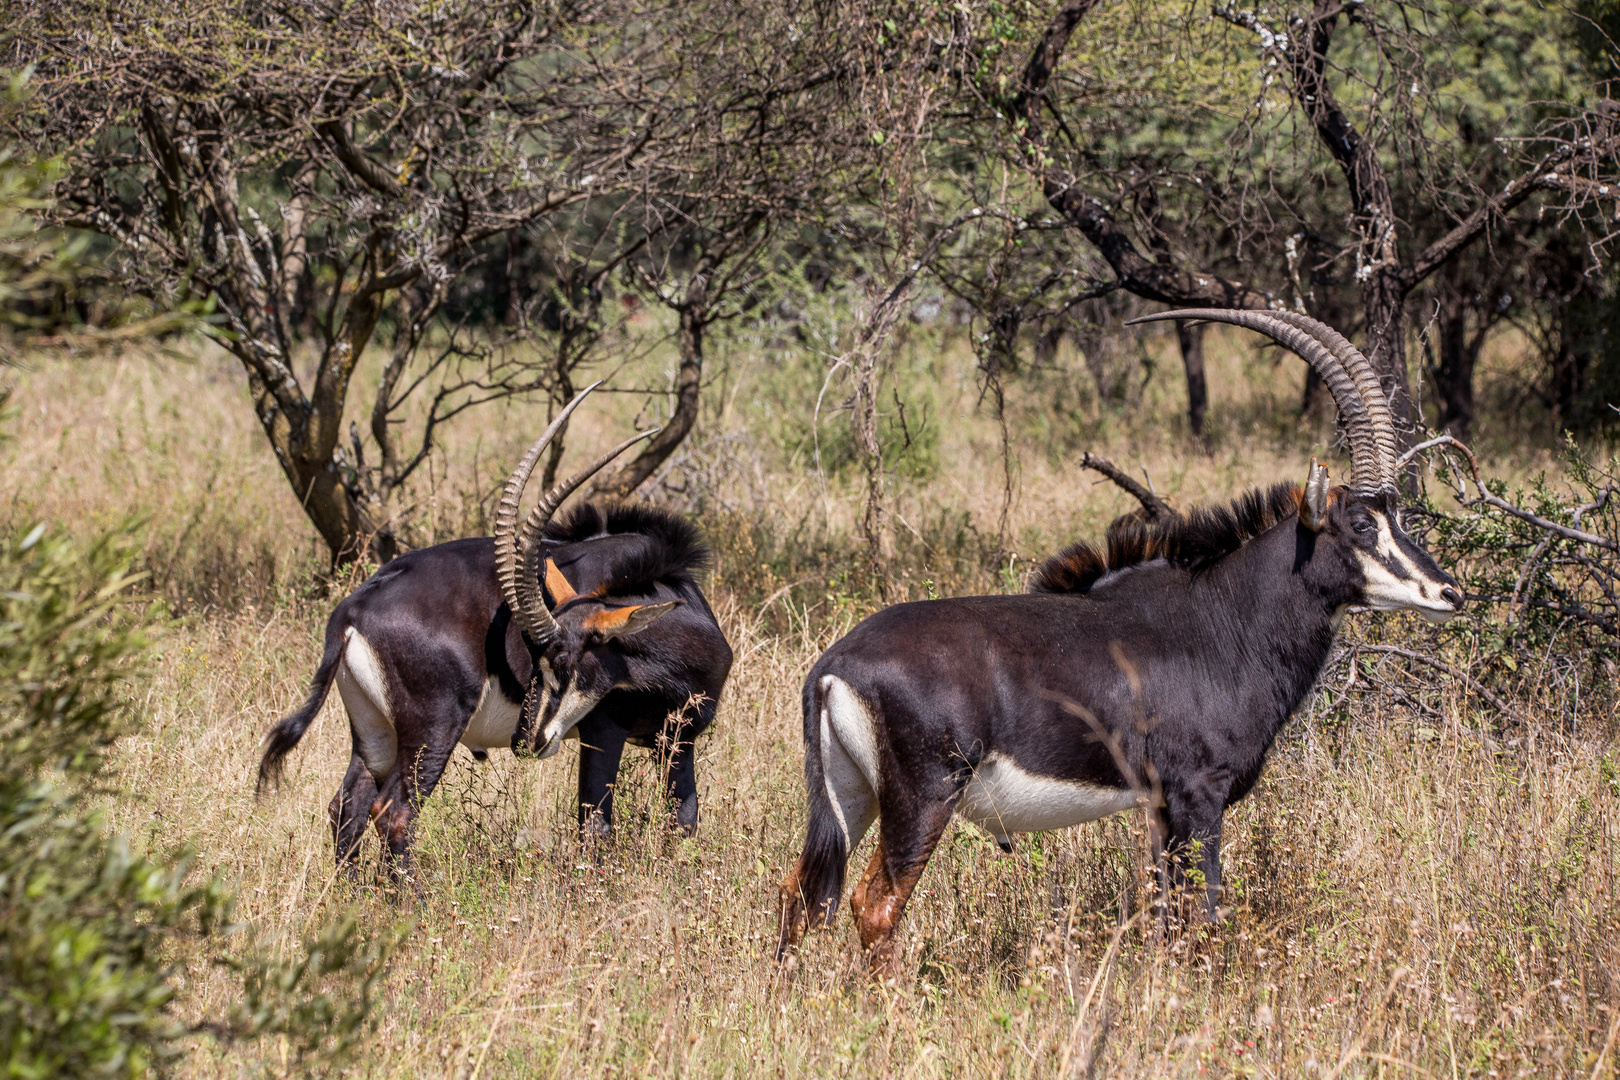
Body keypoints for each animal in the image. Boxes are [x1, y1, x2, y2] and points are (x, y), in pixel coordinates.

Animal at [259, 383, 735, 874]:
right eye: (535, 658)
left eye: (561, 658)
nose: (527, 740)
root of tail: (353, 608)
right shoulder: (602, 735)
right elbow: (595, 830)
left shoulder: (678, 742)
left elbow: (684, 822)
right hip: (433, 730)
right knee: (393, 814)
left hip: (375, 734)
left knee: (347, 807)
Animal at [774, 307, 1470, 977]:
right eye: (1360, 524)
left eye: (1398, 516)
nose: (1449, 593)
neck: (1223, 620)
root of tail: (833, 666)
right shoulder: (1198, 796)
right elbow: (1201, 913)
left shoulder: (1159, 808)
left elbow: (1165, 917)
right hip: (923, 797)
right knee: (875, 903)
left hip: (853, 796)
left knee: (799, 893)